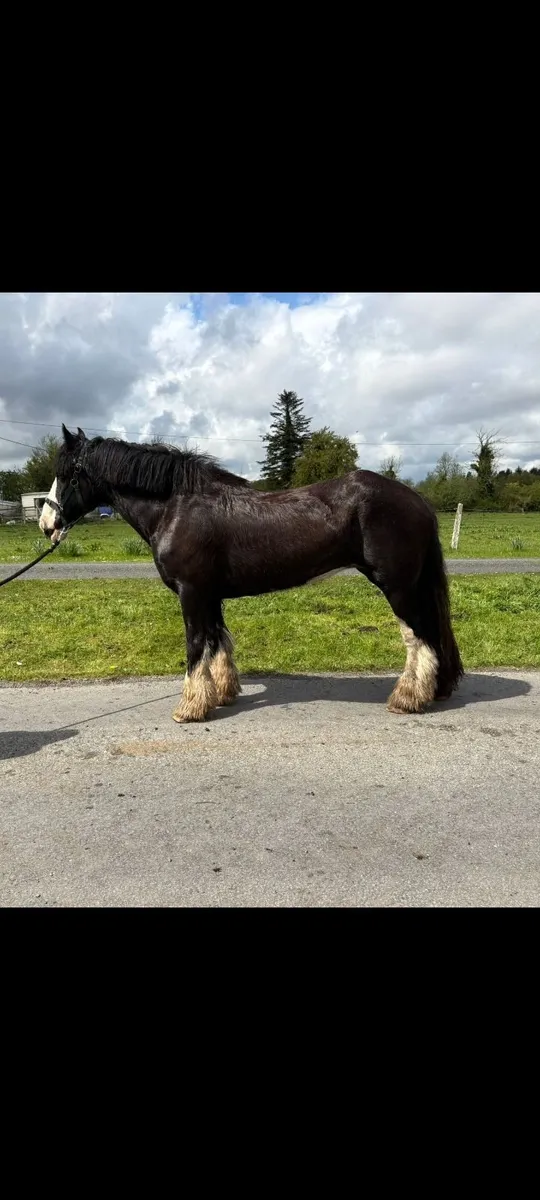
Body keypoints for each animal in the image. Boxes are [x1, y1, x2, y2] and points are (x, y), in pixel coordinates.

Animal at [39, 424, 464, 723]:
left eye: (68, 473)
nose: (46, 523)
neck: (177, 507)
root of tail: (417, 500)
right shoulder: (209, 594)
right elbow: (218, 642)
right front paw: (222, 694)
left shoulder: (191, 592)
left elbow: (196, 645)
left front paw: (190, 707)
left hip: (398, 587)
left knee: (420, 636)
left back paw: (408, 698)